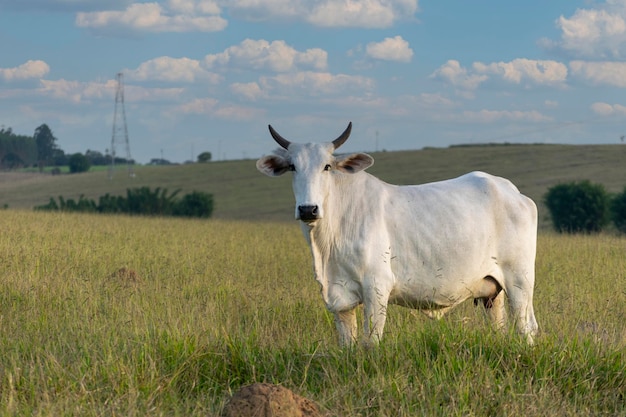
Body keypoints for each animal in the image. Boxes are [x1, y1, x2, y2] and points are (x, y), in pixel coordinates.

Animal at [256, 122, 540, 346]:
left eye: (327, 166)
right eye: (292, 166)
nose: (308, 209)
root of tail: (510, 190)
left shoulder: (377, 287)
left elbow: (371, 341)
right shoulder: (340, 299)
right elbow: (347, 344)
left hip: (520, 281)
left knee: (526, 327)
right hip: (492, 293)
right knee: (500, 327)